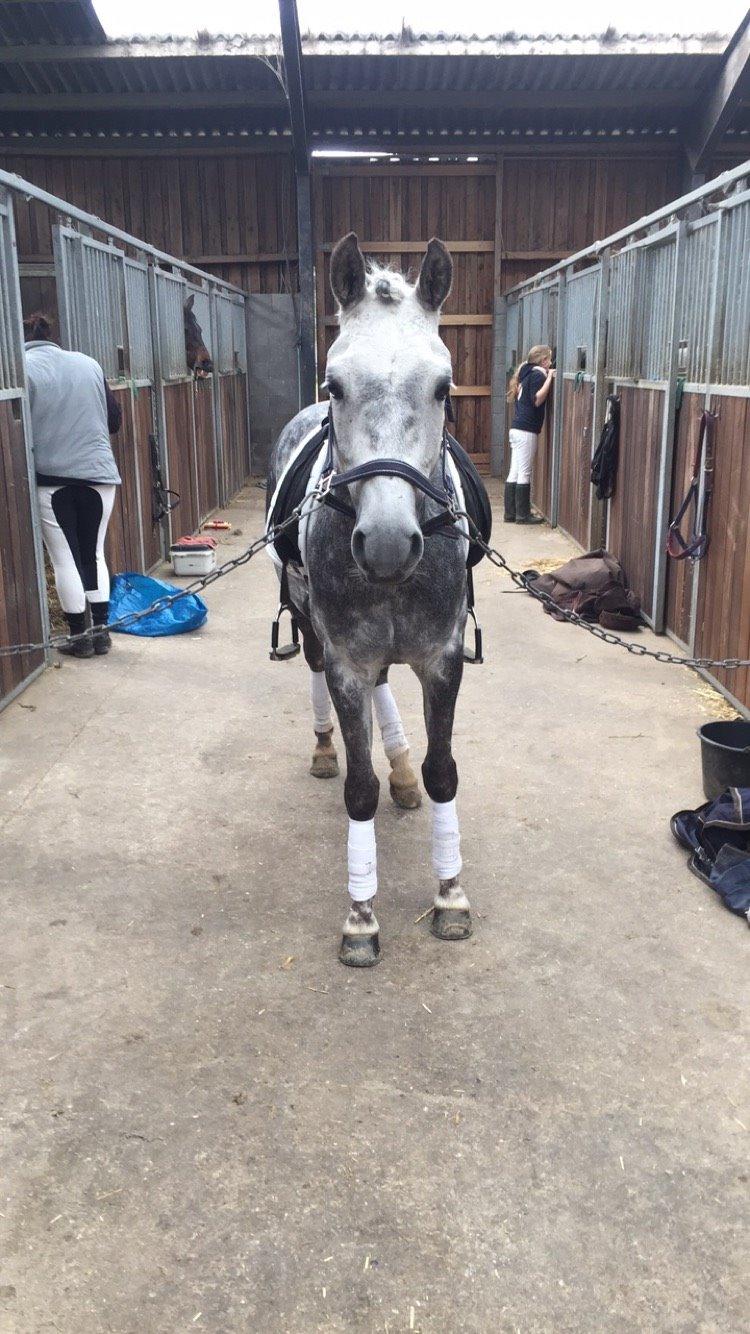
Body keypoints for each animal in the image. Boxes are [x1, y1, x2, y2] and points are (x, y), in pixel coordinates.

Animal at [267, 234, 472, 967]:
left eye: (443, 387)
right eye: (336, 385)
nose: (385, 543)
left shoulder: (442, 659)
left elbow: (444, 773)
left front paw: (450, 896)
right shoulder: (346, 662)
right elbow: (359, 788)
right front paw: (360, 916)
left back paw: (403, 771)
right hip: (312, 630)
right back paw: (327, 748)